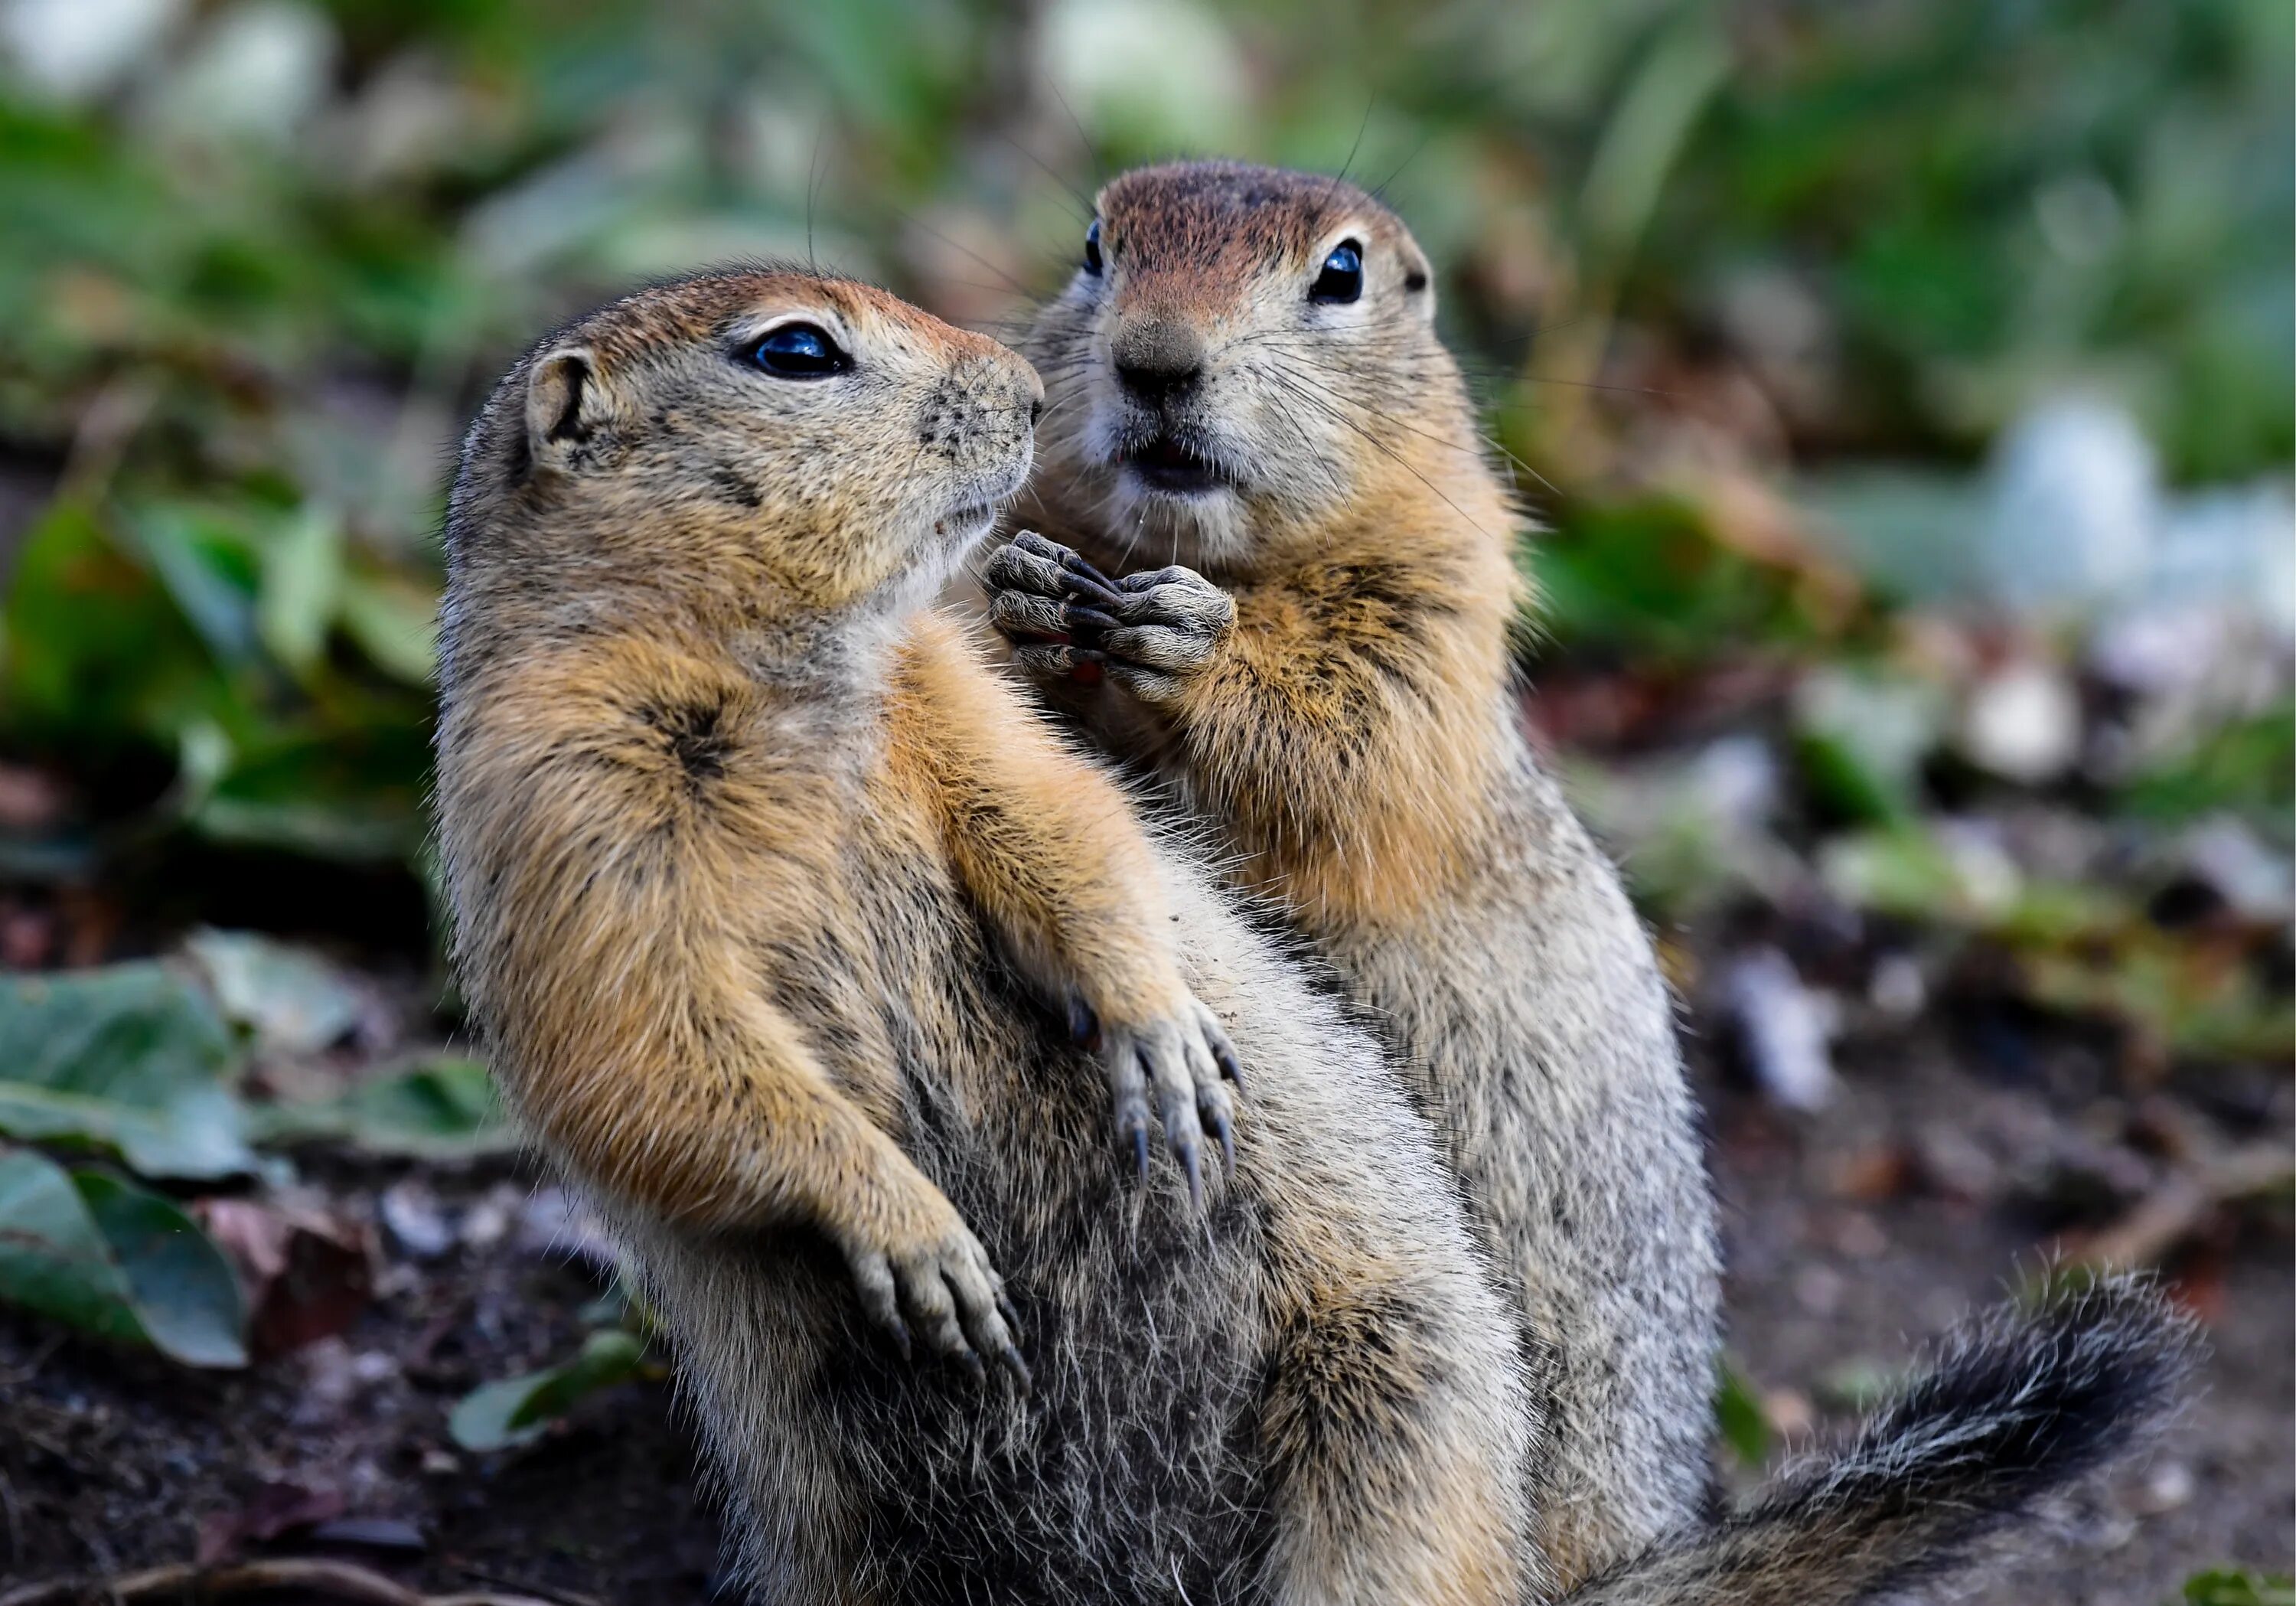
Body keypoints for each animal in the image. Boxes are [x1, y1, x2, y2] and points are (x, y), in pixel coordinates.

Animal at [429, 269, 1543, 1598]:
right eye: (795, 351)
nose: (1028, 390)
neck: (768, 670)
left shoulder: (950, 689)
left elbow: (1056, 818)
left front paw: (1162, 1040)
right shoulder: (552, 816)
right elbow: (641, 1044)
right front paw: (918, 1237)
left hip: (1400, 1387)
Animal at [987, 159, 1727, 1580]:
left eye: (1342, 274)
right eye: (1096, 246)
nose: (1157, 358)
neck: (1206, 551)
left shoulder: (1441, 596)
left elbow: (1355, 729)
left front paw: (1192, 644)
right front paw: (1021, 595)